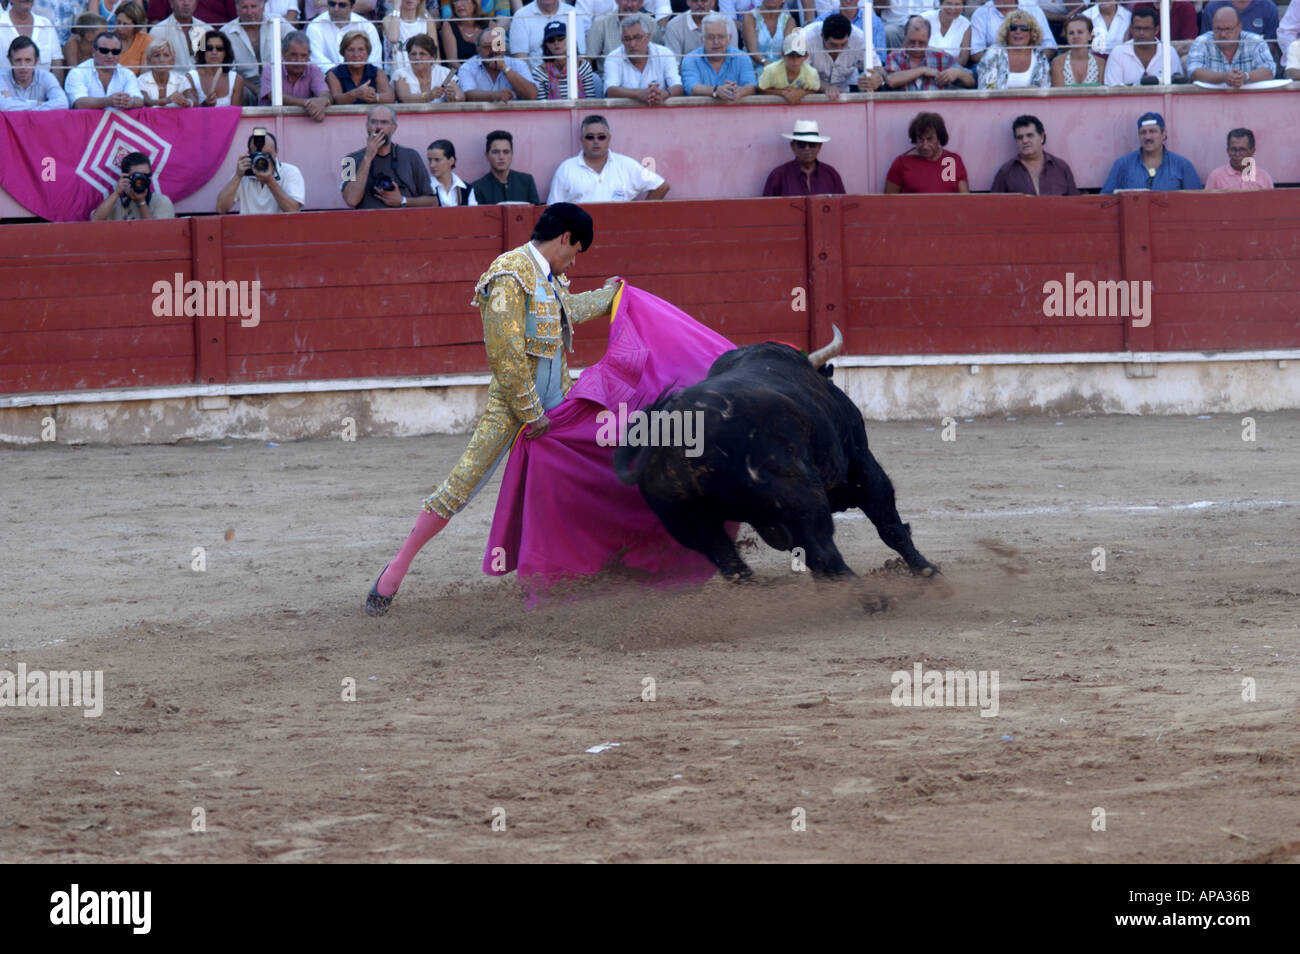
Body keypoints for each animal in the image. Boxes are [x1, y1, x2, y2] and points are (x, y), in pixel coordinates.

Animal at [608, 328, 935, 582]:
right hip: (804, 497)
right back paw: (866, 595)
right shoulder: (861, 464)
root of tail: (676, 426)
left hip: (687, 521)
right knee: (824, 550)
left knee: (732, 565)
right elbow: (890, 525)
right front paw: (929, 572)